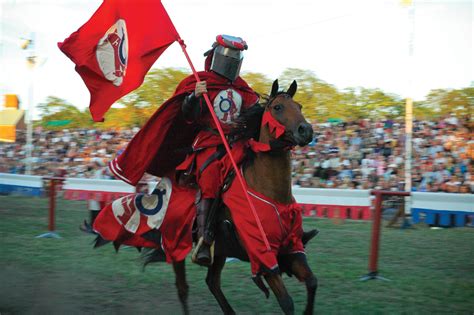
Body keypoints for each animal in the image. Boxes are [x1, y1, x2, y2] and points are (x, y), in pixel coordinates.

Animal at [170, 80, 318, 314]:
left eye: (299, 106)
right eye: (277, 107)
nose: (306, 131)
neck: (272, 193)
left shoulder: (292, 249)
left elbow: (312, 282)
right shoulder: (264, 258)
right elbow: (287, 302)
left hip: (219, 252)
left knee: (212, 282)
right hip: (176, 242)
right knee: (182, 287)